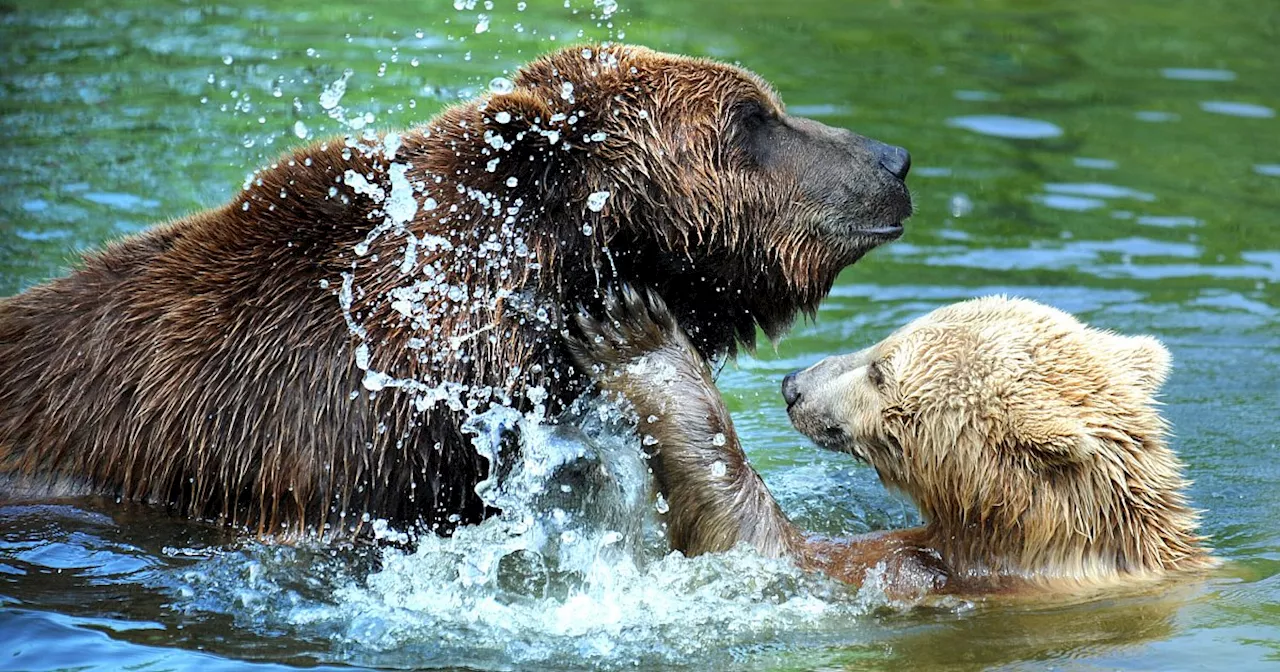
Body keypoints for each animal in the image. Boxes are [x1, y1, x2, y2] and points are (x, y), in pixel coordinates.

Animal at [568, 288, 1208, 596]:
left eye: (880, 372)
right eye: (884, 342)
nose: (793, 385)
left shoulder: (918, 574)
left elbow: (758, 547)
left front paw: (637, 337)